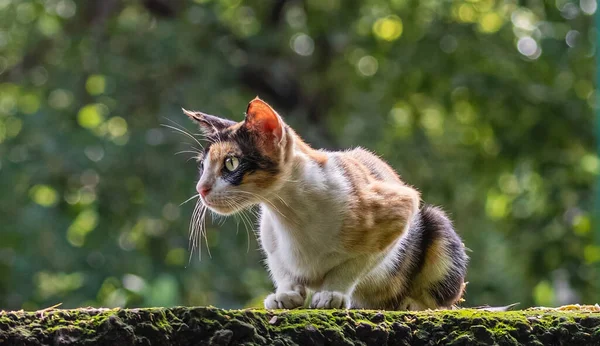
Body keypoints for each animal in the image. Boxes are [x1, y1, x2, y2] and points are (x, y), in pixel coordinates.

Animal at [183, 97, 468, 310]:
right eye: (202, 166)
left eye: (231, 163)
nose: (200, 189)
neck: (291, 214)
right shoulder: (269, 235)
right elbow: (280, 266)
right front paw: (286, 294)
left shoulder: (399, 208)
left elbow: (354, 264)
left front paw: (332, 293)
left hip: (436, 226)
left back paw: (410, 303)